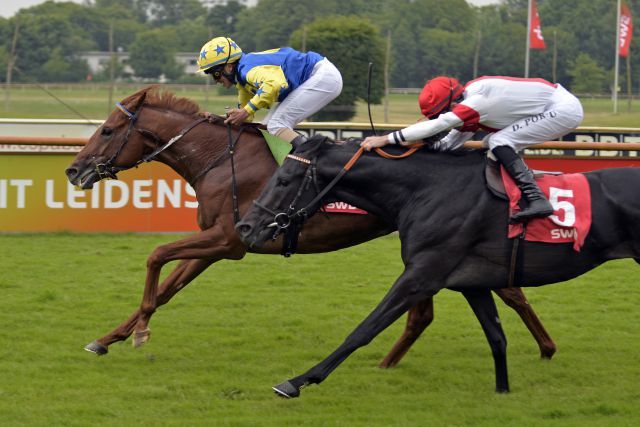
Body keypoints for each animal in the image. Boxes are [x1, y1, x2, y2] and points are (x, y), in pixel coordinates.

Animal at [66, 85, 556, 366]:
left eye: (107, 130)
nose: (73, 170)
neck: (219, 159)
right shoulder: (220, 244)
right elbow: (169, 286)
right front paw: (109, 338)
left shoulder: (226, 240)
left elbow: (155, 256)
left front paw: (138, 332)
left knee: (502, 292)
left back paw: (545, 347)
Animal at [236, 136, 640, 398]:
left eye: (283, 179)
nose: (245, 227)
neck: (428, 190)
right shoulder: (472, 282)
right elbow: (497, 337)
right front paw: (503, 391)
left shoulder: (422, 274)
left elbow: (364, 329)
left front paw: (298, 381)